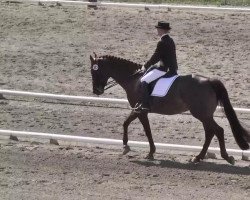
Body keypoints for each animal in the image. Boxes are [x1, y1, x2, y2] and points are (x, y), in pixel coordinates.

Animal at [90, 53, 250, 164]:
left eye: (94, 71)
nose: (96, 91)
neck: (134, 79)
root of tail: (209, 81)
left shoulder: (140, 110)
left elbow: (143, 129)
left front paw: (140, 151)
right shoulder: (139, 110)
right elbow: (130, 124)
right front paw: (132, 148)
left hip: (202, 114)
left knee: (218, 131)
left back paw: (225, 157)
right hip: (205, 115)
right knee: (210, 133)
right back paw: (198, 157)